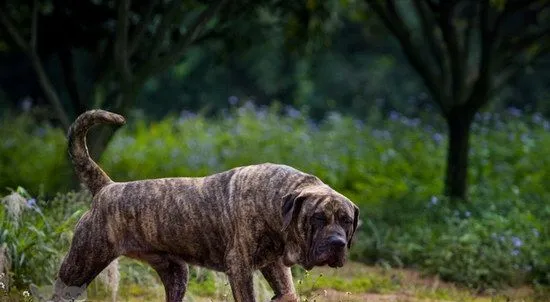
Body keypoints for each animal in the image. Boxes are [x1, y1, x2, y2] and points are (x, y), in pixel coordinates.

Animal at [54, 109, 360, 300]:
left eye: (346, 221)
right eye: (317, 218)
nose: (337, 243)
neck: (275, 201)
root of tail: (107, 188)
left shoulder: (274, 265)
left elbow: (288, 292)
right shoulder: (240, 266)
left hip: (177, 273)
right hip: (79, 266)